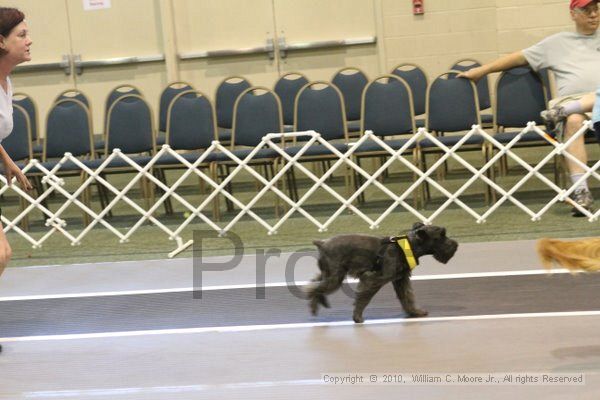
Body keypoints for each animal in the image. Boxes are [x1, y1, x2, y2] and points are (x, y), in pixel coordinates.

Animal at [308, 223, 458, 324]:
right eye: (441, 235)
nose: (455, 245)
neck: (408, 246)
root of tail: (322, 243)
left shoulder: (401, 280)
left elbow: (407, 297)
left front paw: (415, 312)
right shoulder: (373, 279)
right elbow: (364, 298)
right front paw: (357, 317)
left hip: (330, 275)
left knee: (314, 283)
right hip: (334, 278)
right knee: (313, 289)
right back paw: (314, 307)